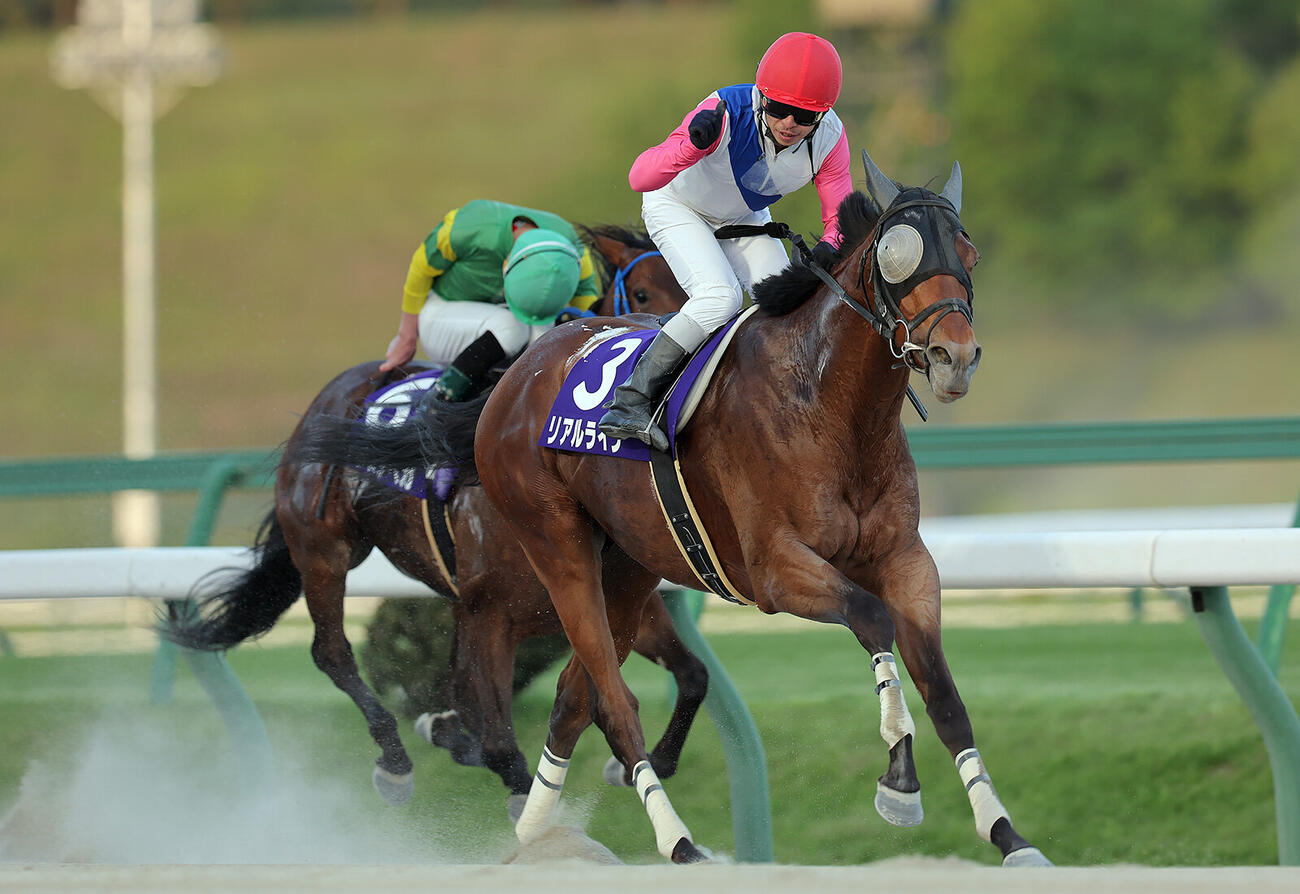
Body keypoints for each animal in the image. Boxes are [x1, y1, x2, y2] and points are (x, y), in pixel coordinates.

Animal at [163, 224, 706, 819]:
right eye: (645, 293)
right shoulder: (491, 614)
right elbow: (499, 742)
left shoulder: (610, 600)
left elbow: (692, 676)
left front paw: (643, 762)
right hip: (325, 551)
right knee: (332, 652)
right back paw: (395, 761)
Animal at [292, 151, 1053, 866]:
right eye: (897, 255)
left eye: (969, 256)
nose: (955, 357)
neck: (827, 405)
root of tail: (517, 375)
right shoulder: (774, 570)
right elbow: (871, 620)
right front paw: (899, 782)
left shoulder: (905, 560)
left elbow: (946, 694)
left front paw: (1008, 834)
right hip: (551, 550)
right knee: (608, 699)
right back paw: (676, 841)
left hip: (628, 567)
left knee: (572, 698)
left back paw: (538, 831)